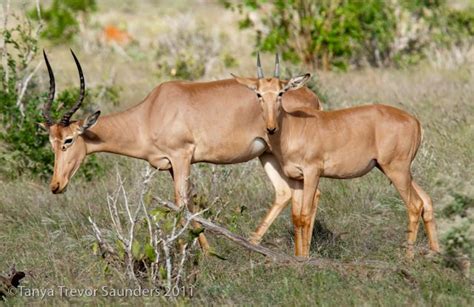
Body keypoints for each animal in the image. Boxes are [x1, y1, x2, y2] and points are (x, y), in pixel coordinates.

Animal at [39, 50, 322, 253]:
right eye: (51, 141)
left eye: (68, 140)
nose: (56, 185)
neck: (151, 110)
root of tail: (311, 96)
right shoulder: (170, 166)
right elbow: (183, 204)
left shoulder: (182, 156)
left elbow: (182, 202)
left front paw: (205, 253)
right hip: (268, 155)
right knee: (285, 193)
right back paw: (254, 246)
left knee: (312, 193)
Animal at [233, 69, 440, 258]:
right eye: (258, 93)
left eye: (281, 92)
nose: (271, 128)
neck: (296, 126)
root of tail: (415, 121)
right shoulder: (296, 178)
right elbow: (297, 217)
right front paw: (298, 257)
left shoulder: (312, 172)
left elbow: (305, 215)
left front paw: (304, 259)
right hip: (394, 170)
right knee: (426, 200)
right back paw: (434, 252)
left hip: (397, 170)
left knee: (415, 205)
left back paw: (408, 258)